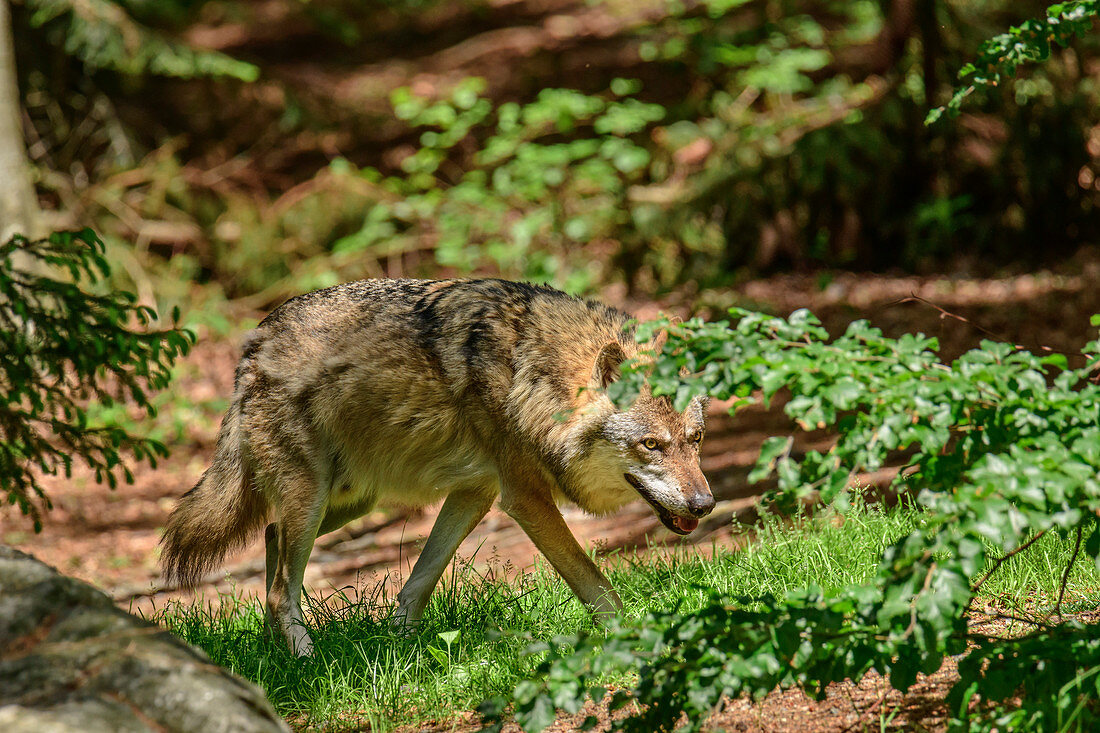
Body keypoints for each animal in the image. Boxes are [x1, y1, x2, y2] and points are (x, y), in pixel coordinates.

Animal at [160, 278, 712, 651]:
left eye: (696, 439)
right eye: (651, 445)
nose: (705, 504)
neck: (534, 374)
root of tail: (254, 342)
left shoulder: (476, 494)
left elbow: (417, 584)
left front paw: (399, 650)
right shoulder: (525, 499)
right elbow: (595, 583)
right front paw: (638, 638)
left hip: (349, 503)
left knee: (271, 539)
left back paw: (280, 650)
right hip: (314, 499)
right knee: (279, 590)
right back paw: (306, 663)